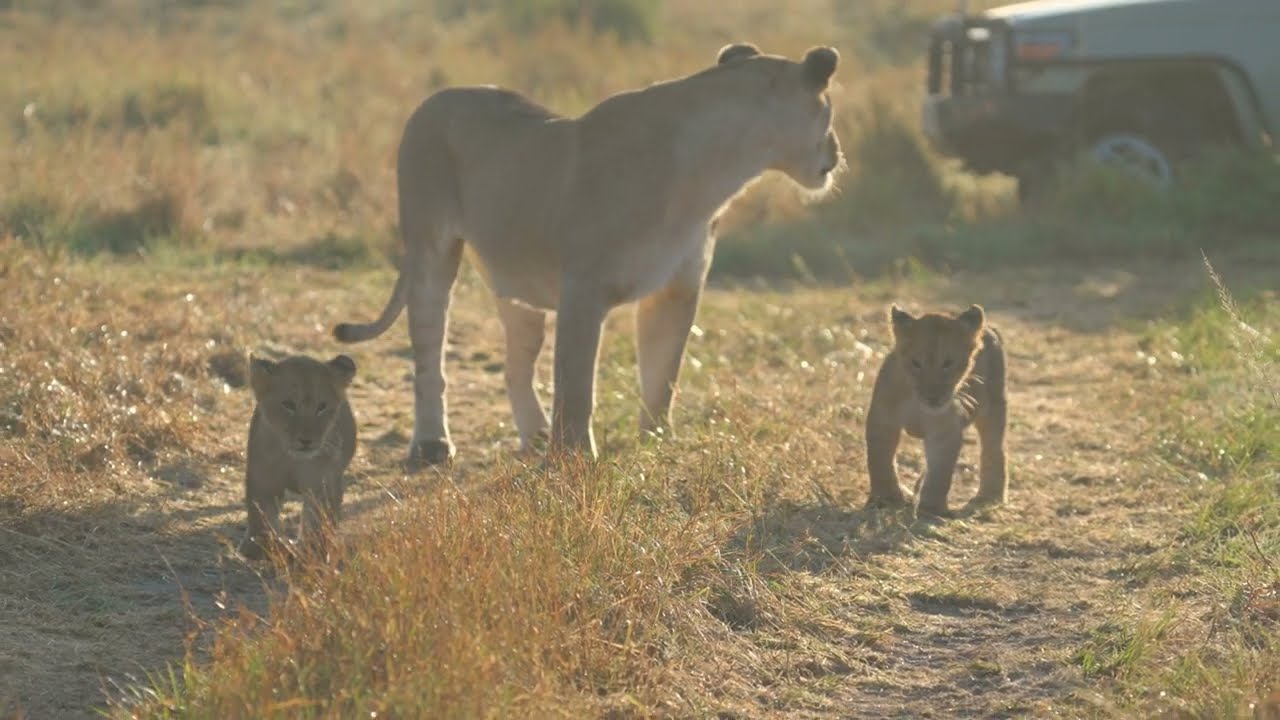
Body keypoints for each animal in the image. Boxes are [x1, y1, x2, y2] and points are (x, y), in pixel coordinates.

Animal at [238, 354, 358, 561]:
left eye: (322, 407)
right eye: (288, 405)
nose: (306, 440)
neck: (292, 459)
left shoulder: (323, 485)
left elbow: (318, 522)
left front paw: (312, 552)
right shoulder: (263, 480)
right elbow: (261, 515)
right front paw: (260, 547)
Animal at [332, 42, 845, 467]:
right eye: (829, 112)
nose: (837, 152)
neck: (716, 172)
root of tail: (435, 98)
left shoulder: (677, 288)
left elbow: (663, 373)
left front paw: (657, 441)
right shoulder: (583, 287)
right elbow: (577, 385)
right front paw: (573, 460)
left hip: (516, 284)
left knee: (516, 365)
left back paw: (535, 435)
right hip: (431, 250)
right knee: (428, 354)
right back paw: (432, 444)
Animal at [863, 304, 1008, 518]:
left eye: (948, 363)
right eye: (916, 363)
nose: (933, 397)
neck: (918, 403)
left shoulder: (945, 430)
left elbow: (940, 472)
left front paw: (930, 508)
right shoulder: (882, 419)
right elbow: (879, 460)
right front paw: (886, 499)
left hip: (994, 406)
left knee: (993, 448)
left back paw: (990, 496)